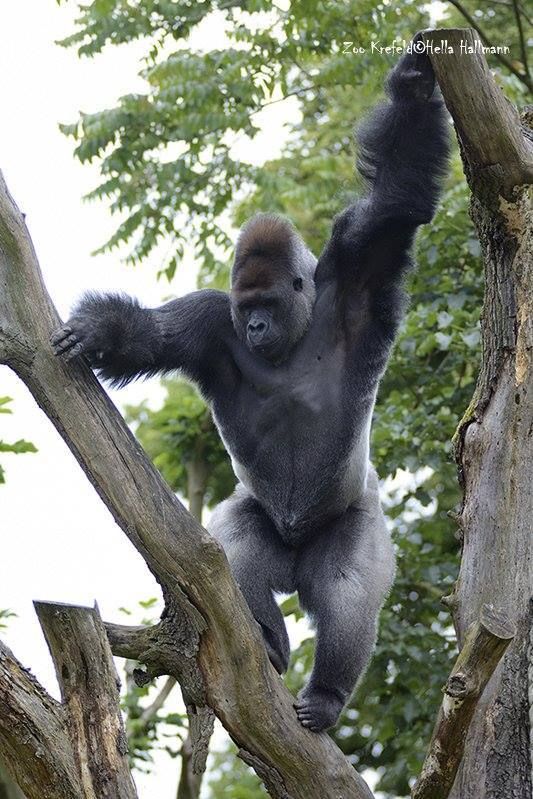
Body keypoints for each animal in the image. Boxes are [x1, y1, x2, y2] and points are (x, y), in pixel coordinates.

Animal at [52, 42, 446, 732]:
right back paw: (266, 636)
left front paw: (416, 90)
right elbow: (151, 338)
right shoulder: (212, 319)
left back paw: (327, 693)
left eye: (267, 304)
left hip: (355, 521)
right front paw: (101, 331)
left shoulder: (362, 268)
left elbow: (396, 202)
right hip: (256, 538)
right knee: (229, 552)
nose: (256, 325)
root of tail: (293, 566)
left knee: (346, 590)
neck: (298, 323)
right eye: (247, 307)